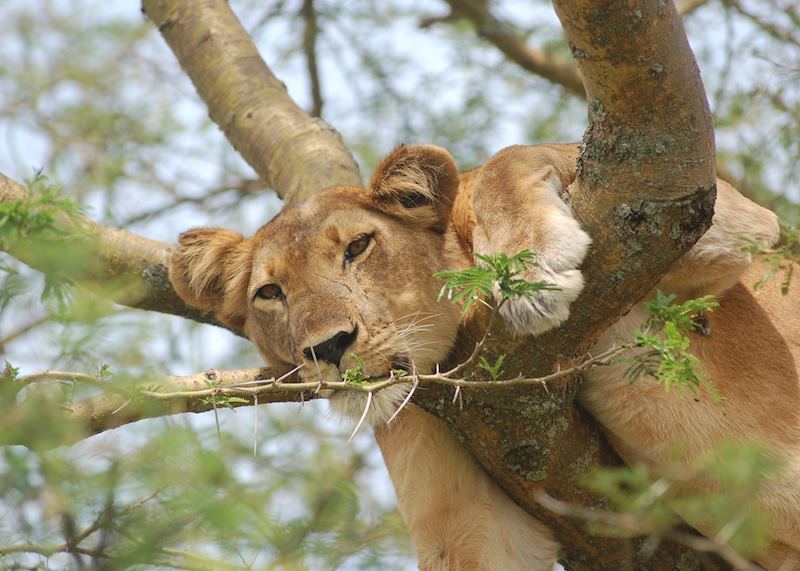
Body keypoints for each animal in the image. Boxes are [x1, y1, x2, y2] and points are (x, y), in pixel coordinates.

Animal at [169, 143, 799, 570]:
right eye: (269, 293)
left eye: (358, 247)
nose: (327, 347)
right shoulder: (466, 520)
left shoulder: (724, 229)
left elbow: (511, 159)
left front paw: (533, 265)